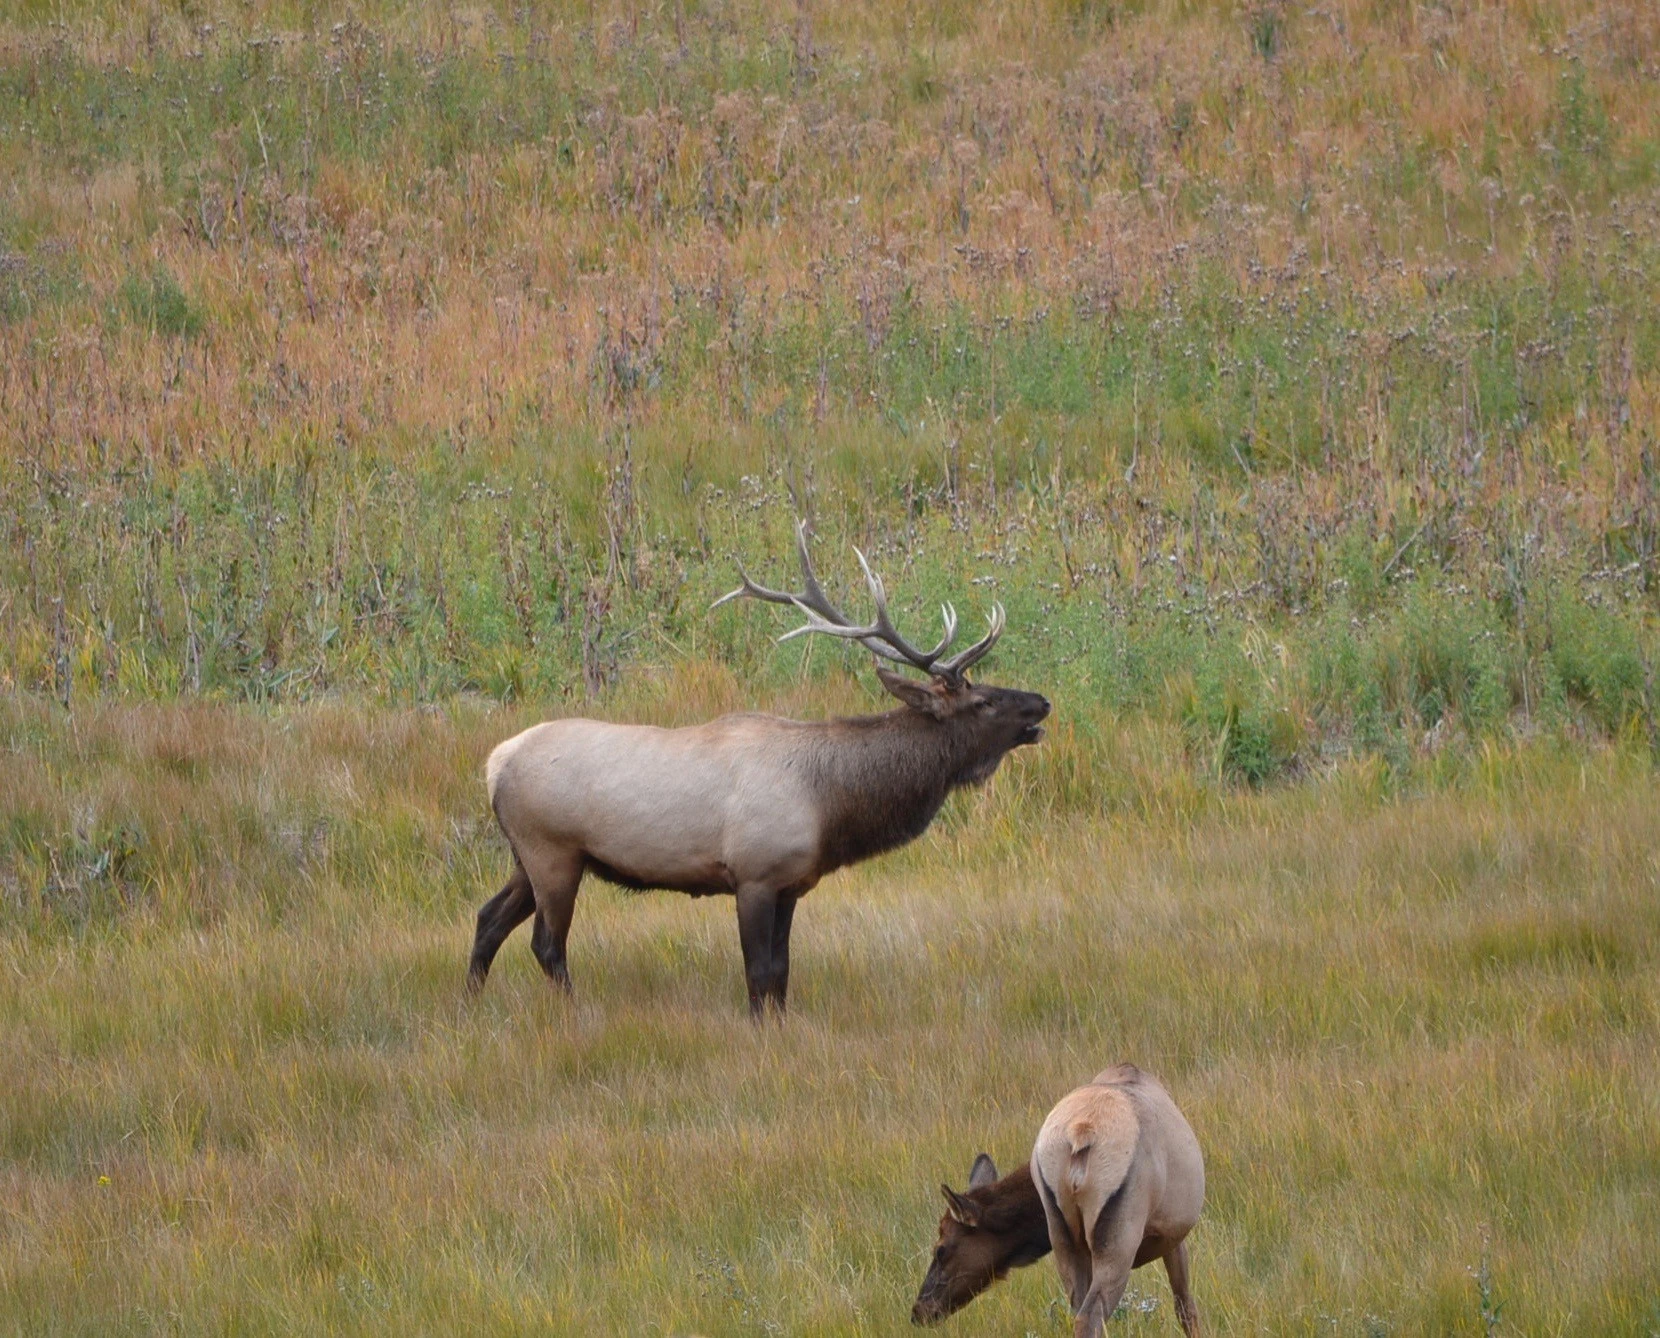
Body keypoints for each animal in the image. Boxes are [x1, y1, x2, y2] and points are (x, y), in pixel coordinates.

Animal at [464, 521, 1049, 1015]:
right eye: (984, 702)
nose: (1041, 703)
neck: (830, 805)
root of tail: (495, 762)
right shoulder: (754, 874)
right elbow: (759, 972)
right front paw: (758, 1030)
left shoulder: (792, 883)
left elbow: (782, 973)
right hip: (552, 850)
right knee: (547, 943)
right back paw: (575, 1011)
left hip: (530, 856)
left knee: (488, 918)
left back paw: (469, 1005)